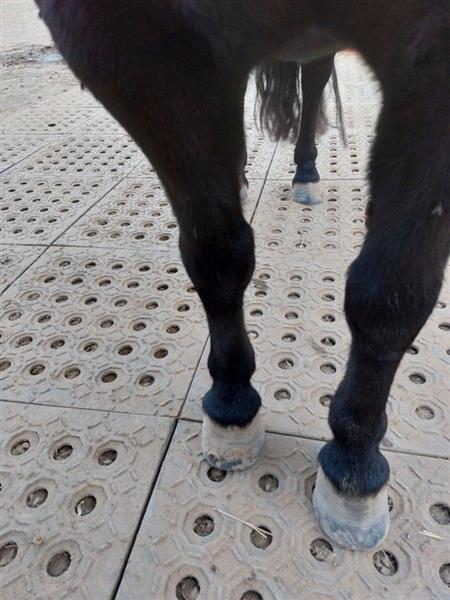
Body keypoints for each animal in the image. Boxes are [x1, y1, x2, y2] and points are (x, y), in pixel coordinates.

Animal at [33, 0, 448, 552]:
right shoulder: (142, 49)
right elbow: (217, 253)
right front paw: (231, 403)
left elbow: (393, 290)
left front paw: (354, 466)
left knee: (314, 79)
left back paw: (306, 172)